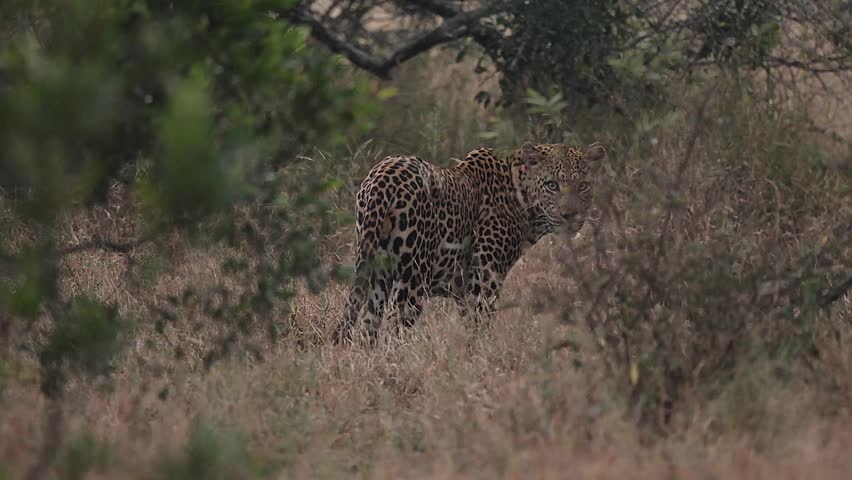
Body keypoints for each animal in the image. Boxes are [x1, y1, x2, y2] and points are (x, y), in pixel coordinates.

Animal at [332, 141, 607, 345]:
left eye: (583, 186)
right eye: (552, 185)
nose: (571, 216)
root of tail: (383, 178)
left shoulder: (463, 288)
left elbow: (471, 324)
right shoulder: (486, 274)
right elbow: (483, 321)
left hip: (375, 273)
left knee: (368, 327)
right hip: (413, 277)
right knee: (394, 330)